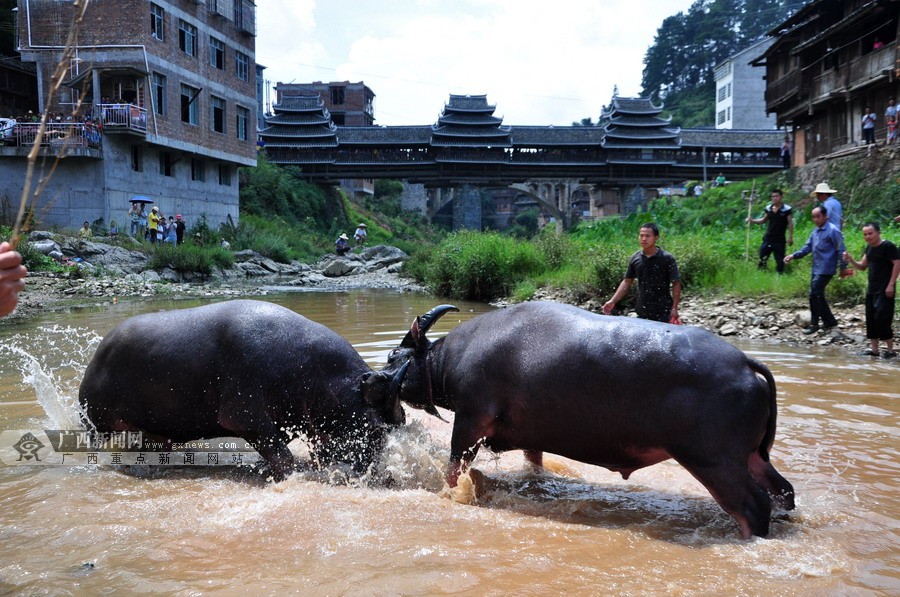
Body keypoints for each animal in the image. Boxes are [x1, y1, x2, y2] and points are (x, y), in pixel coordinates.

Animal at [79, 300, 406, 478]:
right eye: (376, 427)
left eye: (401, 418)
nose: (383, 475)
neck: (323, 379)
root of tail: (97, 353)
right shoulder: (245, 415)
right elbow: (282, 455)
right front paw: (297, 475)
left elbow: (276, 450)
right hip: (97, 423)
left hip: (156, 429)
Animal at [384, 300, 796, 536]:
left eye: (392, 356)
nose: (377, 376)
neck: (449, 359)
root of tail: (744, 364)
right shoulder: (531, 438)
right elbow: (534, 463)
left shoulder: (469, 424)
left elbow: (453, 470)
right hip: (751, 458)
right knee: (784, 491)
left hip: (714, 462)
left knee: (753, 506)